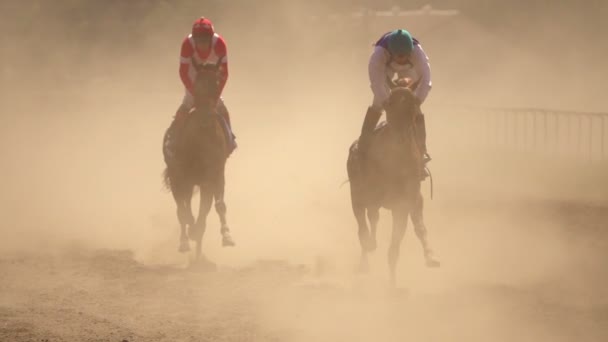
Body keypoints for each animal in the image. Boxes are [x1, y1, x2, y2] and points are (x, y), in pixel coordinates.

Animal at [162, 65, 235, 260]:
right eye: (198, 86)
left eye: (216, 84)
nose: (205, 117)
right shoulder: (182, 179)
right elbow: (185, 212)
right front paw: (189, 235)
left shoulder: (211, 178)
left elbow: (212, 209)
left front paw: (225, 236)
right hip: (178, 180)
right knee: (181, 209)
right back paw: (184, 243)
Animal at [346, 86, 436, 286]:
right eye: (389, 107)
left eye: (413, 110)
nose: (400, 140)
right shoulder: (361, 199)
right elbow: (364, 230)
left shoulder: (403, 206)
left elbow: (395, 247)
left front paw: (393, 285)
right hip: (360, 197)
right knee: (366, 226)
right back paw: (365, 261)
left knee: (415, 226)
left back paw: (430, 257)